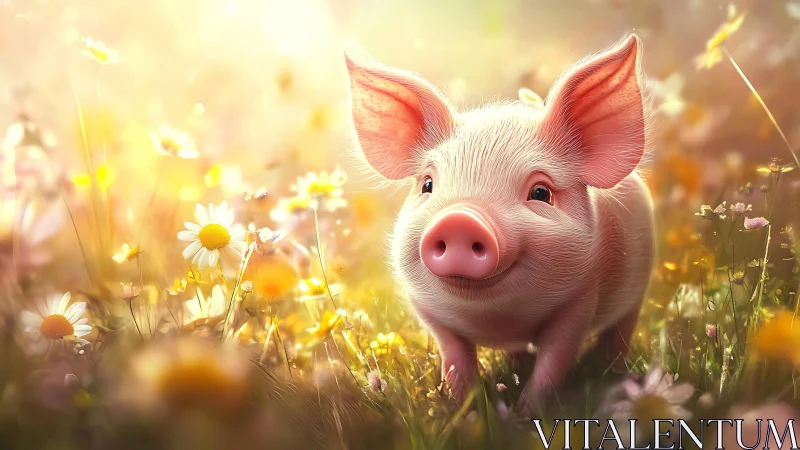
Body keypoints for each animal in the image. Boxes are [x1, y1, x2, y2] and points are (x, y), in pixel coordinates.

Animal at [343, 33, 655, 414]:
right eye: (428, 184)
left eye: (541, 192)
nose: (460, 219)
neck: (496, 320)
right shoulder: (429, 313)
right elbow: (455, 361)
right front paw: (466, 413)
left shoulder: (580, 299)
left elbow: (555, 360)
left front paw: (527, 415)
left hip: (638, 289)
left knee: (620, 333)